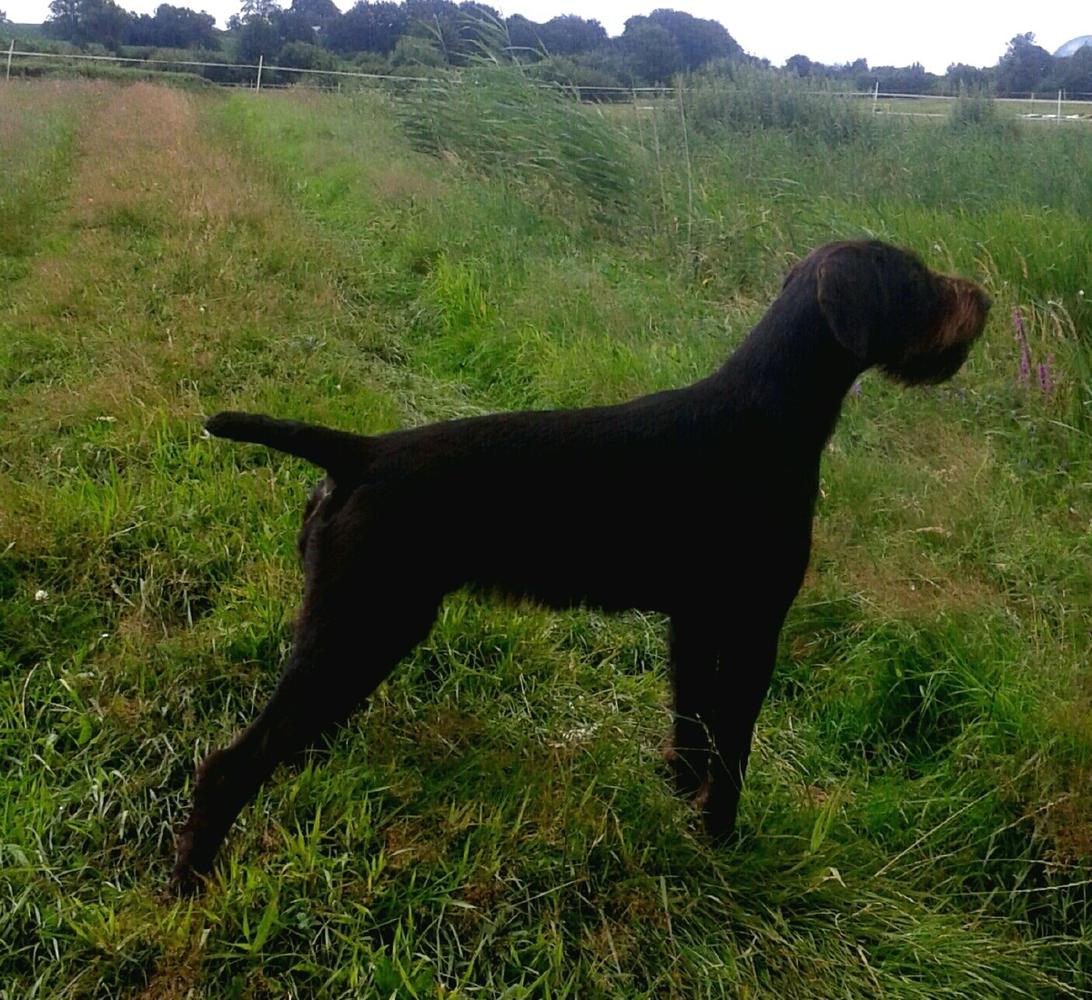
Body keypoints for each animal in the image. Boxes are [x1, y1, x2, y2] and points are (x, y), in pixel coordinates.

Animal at [168, 237, 991, 895]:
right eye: (916, 278)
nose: (983, 298)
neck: (768, 415)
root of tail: (360, 454)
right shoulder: (756, 625)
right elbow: (732, 747)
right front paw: (722, 842)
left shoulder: (695, 623)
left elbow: (692, 726)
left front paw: (677, 804)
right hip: (361, 629)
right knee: (228, 768)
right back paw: (191, 886)